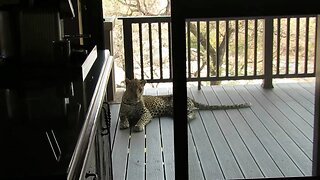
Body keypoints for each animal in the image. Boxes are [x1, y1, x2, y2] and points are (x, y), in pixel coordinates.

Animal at [119, 78, 251, 131]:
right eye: (131, 89)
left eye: (140, 89)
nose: (137, 97)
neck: (132, 102)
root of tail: (190, 97)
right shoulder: (122, 113)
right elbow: (123, 117)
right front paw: (124, 124)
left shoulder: (146, 113)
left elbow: (142, 119)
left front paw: (138, 125)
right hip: (172, 111)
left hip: (181, 107)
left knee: (194, 112)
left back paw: (188, 117)